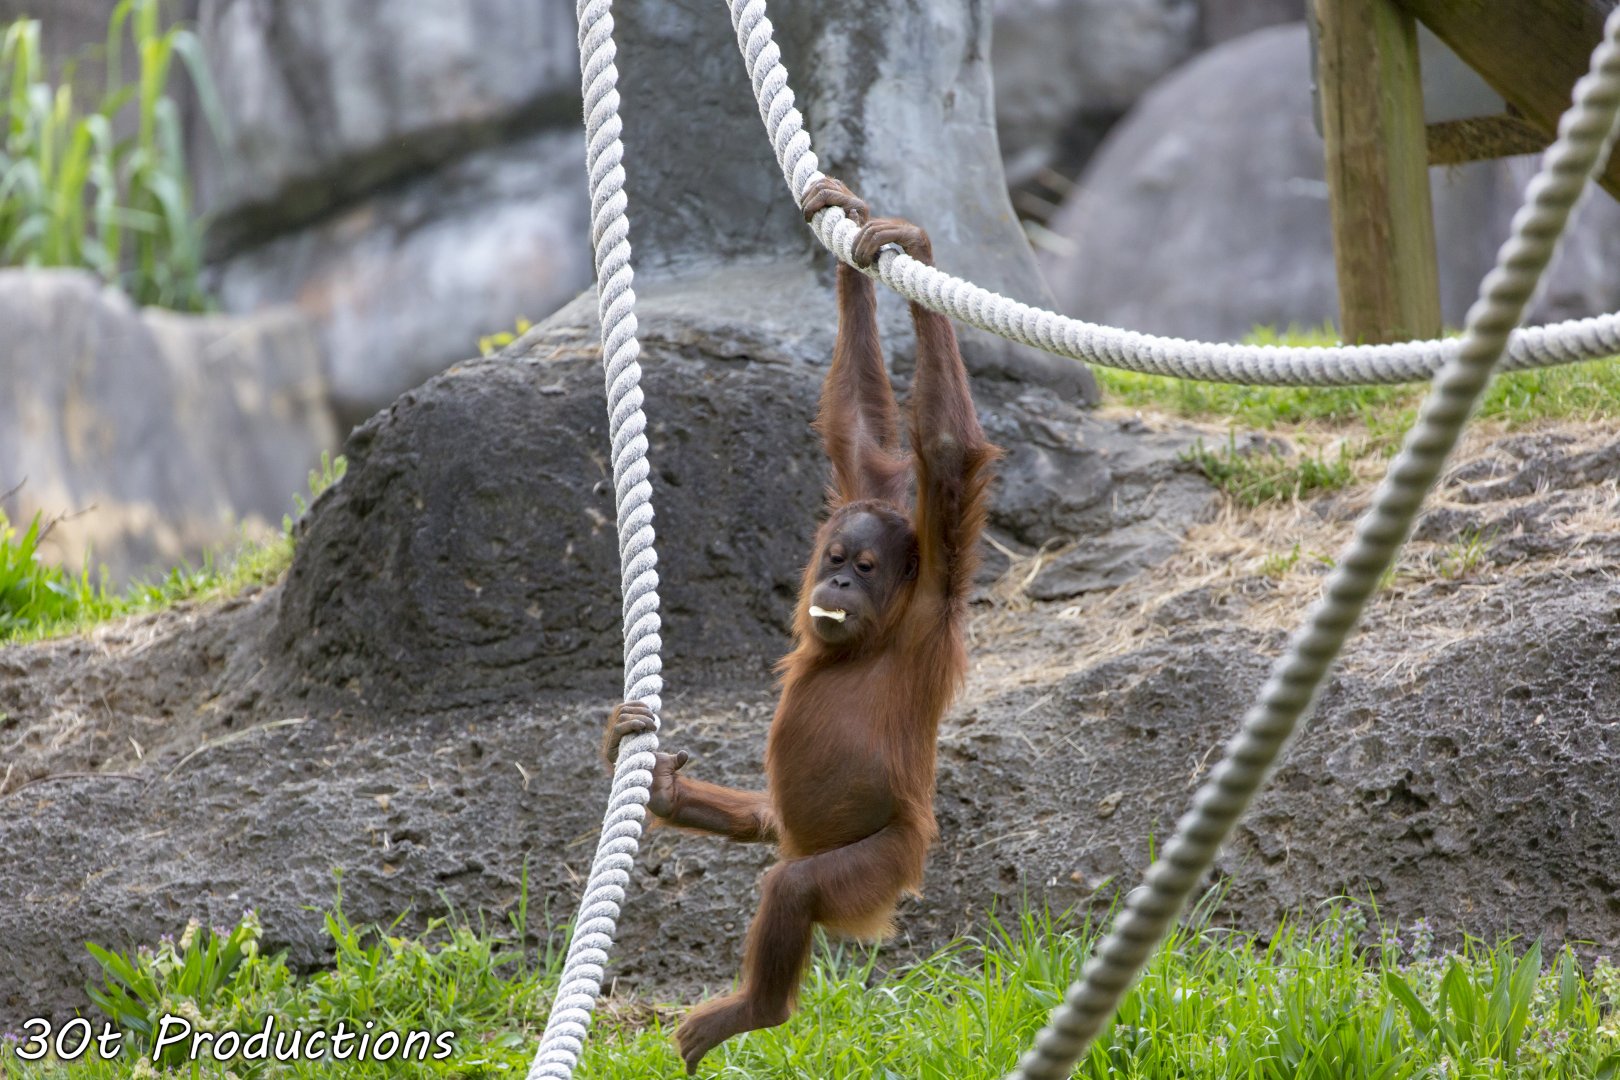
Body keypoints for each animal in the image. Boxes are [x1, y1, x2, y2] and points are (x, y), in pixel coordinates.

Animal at [603, 176, 999, 1074]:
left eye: (867, 569)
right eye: (837, 558)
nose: (838, 582)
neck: (876, 636)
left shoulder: (935, 589)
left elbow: (945, 449)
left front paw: (912, 244)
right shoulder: (868, 487)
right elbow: (861, 430)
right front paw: (848, 229)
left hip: (882, 861)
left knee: (793, 886)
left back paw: (752, 1010)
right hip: (801, 833)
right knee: (769, 825)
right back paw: (670, 792)